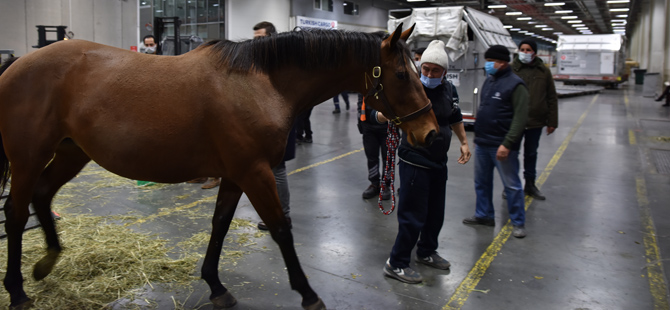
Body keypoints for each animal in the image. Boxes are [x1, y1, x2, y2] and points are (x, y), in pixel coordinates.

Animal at [0, 23, 436, 308]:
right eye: (401, 74)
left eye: (417, 70)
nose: (430, 133)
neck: (260, 83)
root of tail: (15, 66)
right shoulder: (254, 172)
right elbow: (281, 228)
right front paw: (308, 294)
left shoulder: (236, 174)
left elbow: (220, 225)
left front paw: (215, 285)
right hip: (27, 158)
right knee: (15, 213)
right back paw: (17, 290)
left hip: (72, 152)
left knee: (42, 195)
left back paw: (47, 262)